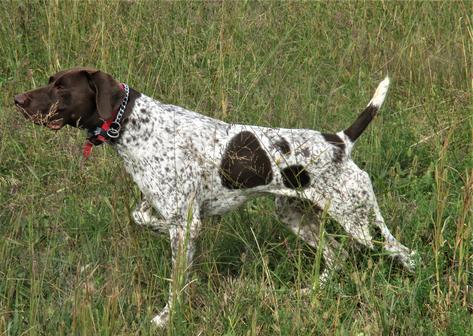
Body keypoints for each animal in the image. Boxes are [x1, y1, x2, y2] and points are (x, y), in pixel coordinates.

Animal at [12, 67, 414, 326]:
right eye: (50, 82)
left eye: (61, 88)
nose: (16, 99)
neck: (133, 126)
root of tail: (340, 141)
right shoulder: (169, 212)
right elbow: (143, 218)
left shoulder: (183, 221)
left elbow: (176, 281)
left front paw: (166, 318)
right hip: (296, 215)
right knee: (337, 256)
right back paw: (309, 291)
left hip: (361, 221)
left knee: (405, 254)